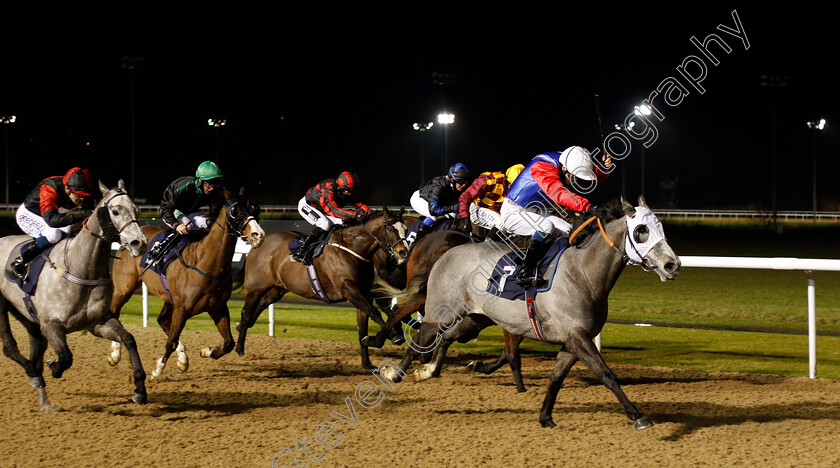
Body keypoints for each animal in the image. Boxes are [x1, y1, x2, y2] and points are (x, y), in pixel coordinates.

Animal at [0, 181, 148, 412]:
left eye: (136, 209)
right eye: (115, 211)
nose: (138, 242)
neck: (82, 268)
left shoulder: (98, 322)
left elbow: (129, 339)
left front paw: (140, 390)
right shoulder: (51, 325)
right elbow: (66, 357)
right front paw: (54, 367)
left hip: (27, 316)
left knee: (35, 349)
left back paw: (45, 401)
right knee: (10, 348)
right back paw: (34, 374)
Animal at [109, 187, 262, 380]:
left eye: (254, 208)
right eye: (236, 211)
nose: (258, 235)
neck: (205, 264)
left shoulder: (217, 307)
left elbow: (229, 343)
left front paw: (207, 351)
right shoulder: (182, 309)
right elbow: (171, 342)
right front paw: (157, 370)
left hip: (168, 298)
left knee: (162, 320)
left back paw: (183, 359)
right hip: (124, 288)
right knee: (114, 312)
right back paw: (115, 355)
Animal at [233, 205, 410, 370]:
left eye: (406, 229)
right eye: (390, 228)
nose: (403, 252)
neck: (353, 248)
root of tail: (256, 245)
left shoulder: (363, 292)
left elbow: (364, 327)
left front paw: (367, 363)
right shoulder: (348, 289)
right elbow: (374, 312)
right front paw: (394, 336)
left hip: (277, 290)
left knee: (259, 307)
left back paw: (239, 327)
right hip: (256, 289)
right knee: (246, 313)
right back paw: (239, 349)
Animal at [384, 196, 680, 430]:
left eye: (661, 227)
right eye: (641, 230)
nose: (672, 264)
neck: (583, 272)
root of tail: (446, 253)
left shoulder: (572, 341)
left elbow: (555, 379)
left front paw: (545, 417)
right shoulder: (578, 337)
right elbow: (606, 374)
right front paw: (638, 416)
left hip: (476, 318)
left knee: (445, 337)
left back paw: (429, 370)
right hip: (439, 312)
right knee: (420, 339)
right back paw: (396, 373)